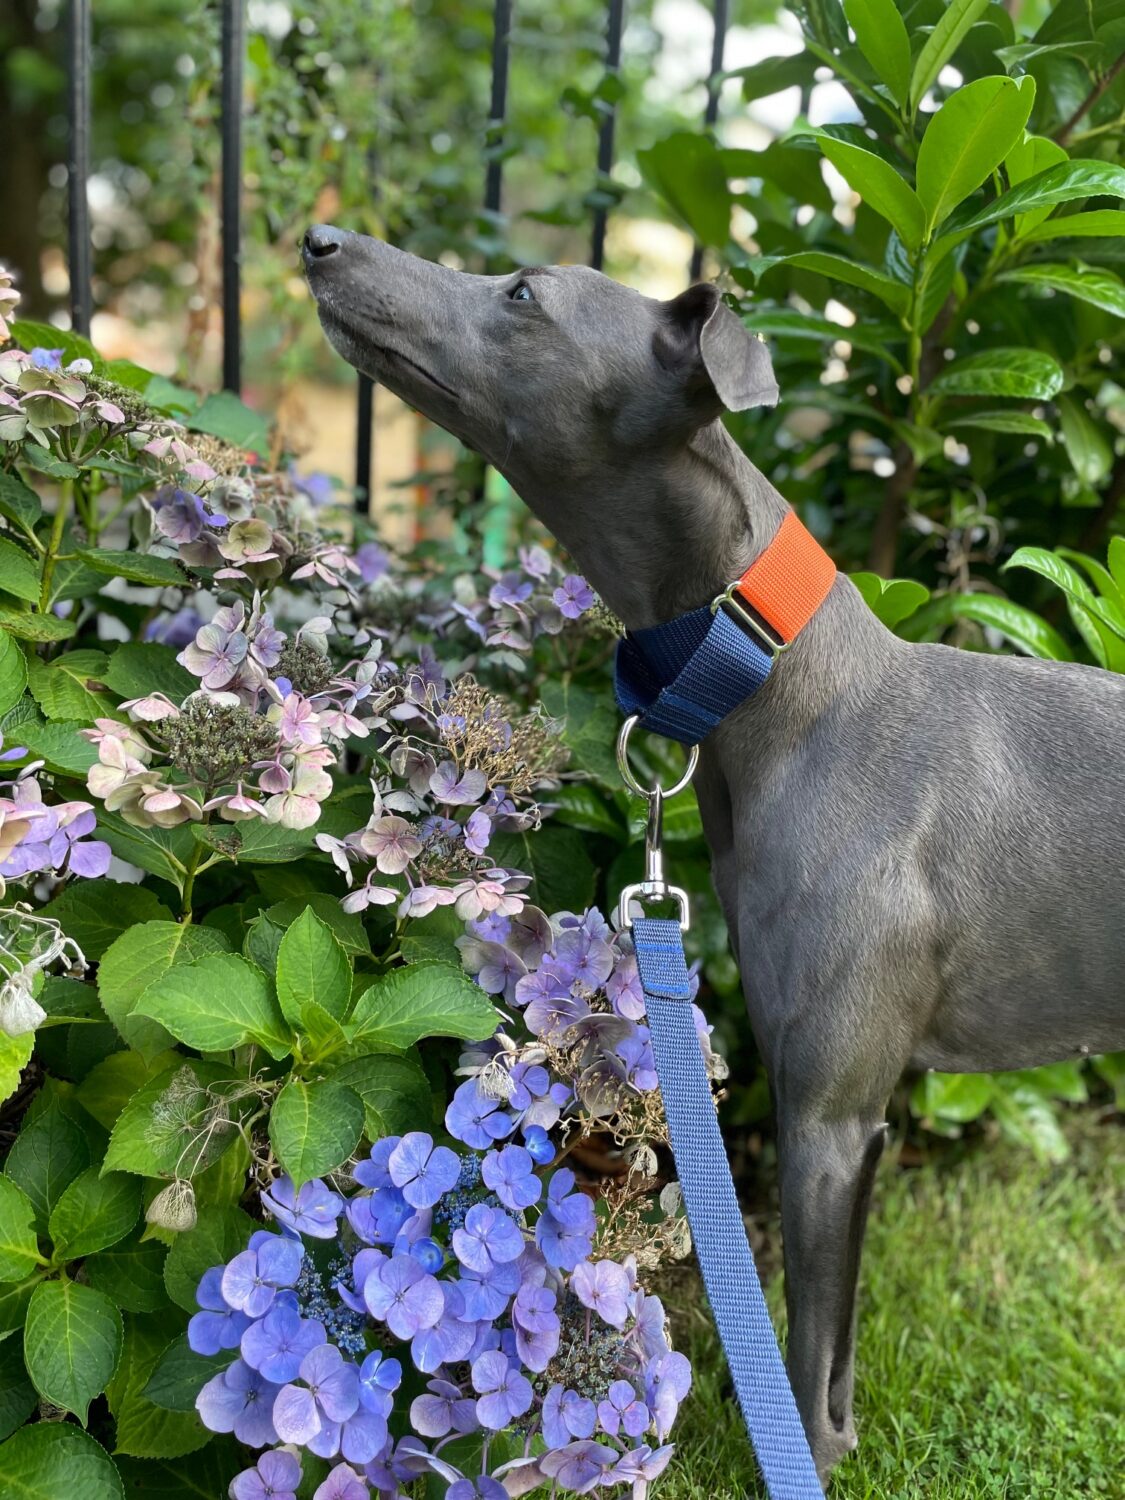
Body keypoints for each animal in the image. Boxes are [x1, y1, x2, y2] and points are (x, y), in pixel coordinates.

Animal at [302, 225, 1125, 1481]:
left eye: (524, 293)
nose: (320, 240)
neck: (782, 684)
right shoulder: (859, 1120)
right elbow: (832, 1361)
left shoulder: (825, 1115)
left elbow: (806, 1362)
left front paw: (804, 1459)